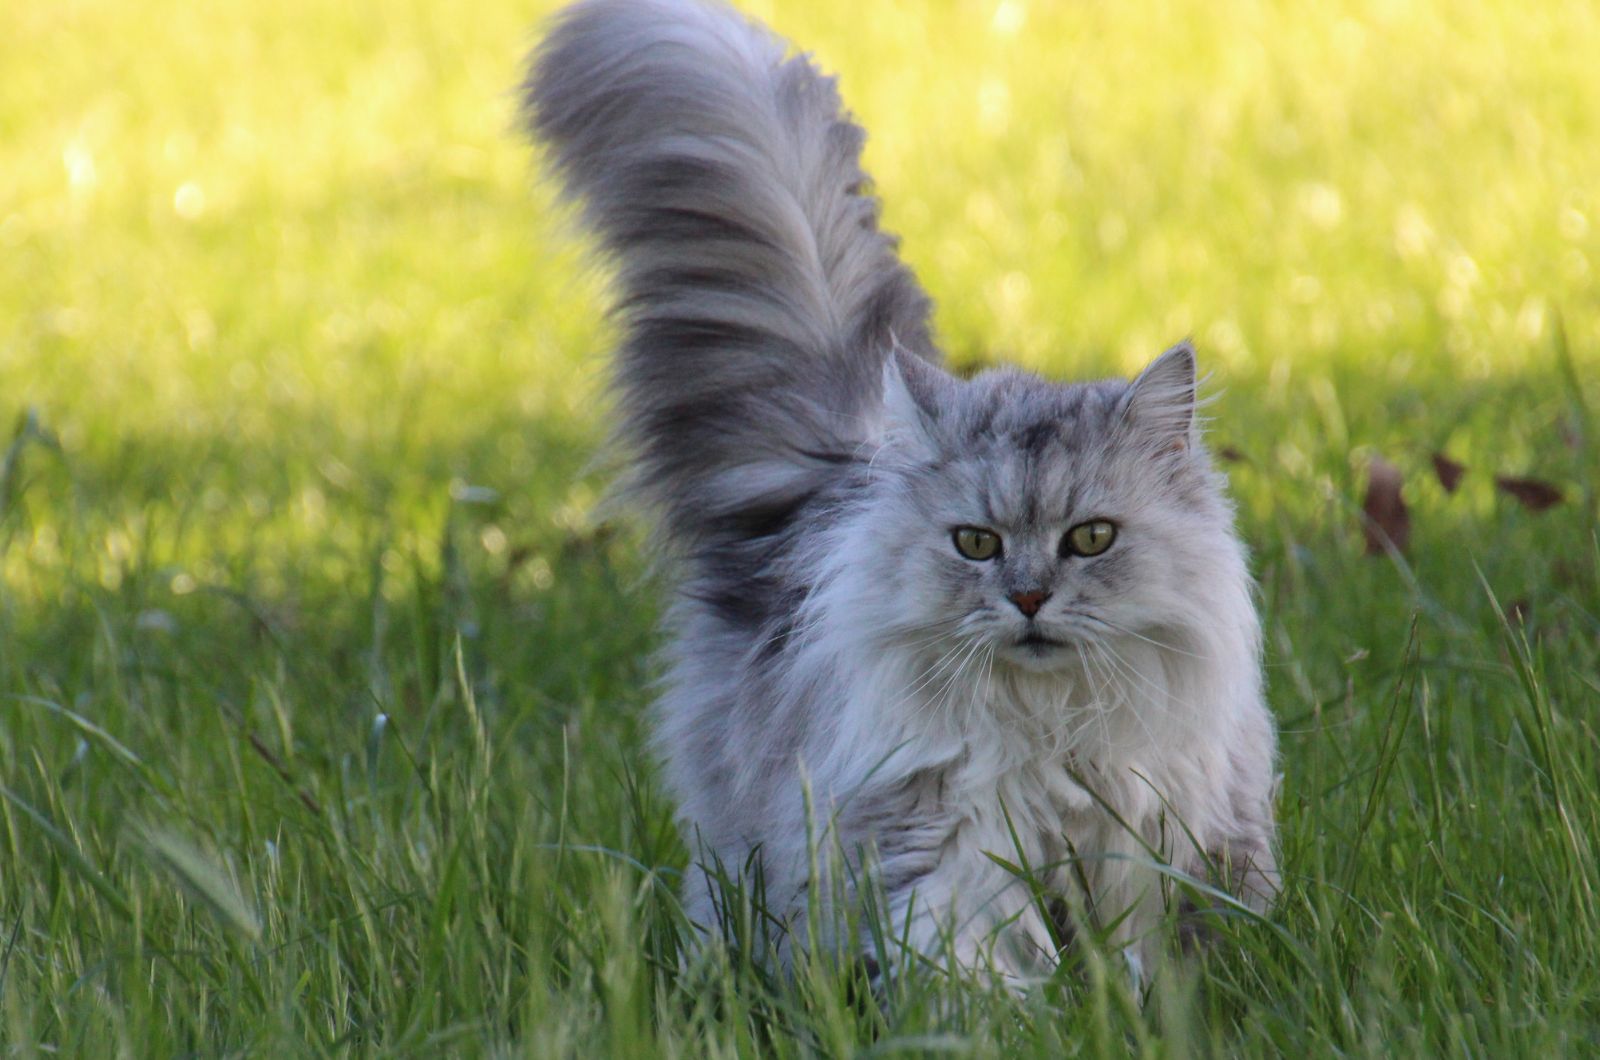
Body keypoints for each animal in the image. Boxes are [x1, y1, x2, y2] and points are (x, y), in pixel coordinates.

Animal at [524, 0, 1273, 986]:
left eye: (1091, 539)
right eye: (976, 543)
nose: (1028, 599)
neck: (1050, 728)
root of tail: (839, 468)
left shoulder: (1160, 838)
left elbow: (1155, 965)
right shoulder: (947, 840)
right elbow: (971, 963)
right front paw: (1002, 1013)